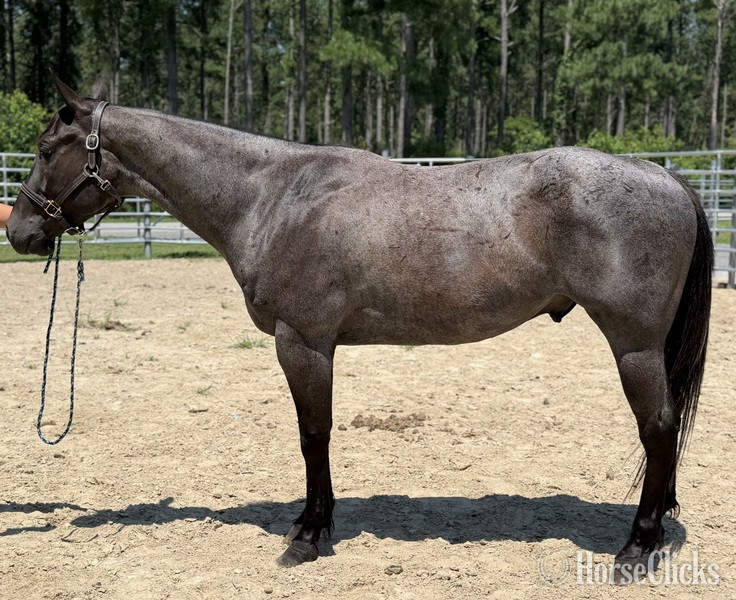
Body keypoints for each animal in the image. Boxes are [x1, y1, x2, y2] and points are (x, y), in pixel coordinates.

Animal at [7, 79, 712, 571]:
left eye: (44, 150)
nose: (20, 232)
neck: (271, 197)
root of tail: (666, 175)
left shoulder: (304, 343)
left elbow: (312, 436)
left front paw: (308, 535)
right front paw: (313, 525)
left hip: (634, 346)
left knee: (657, 428)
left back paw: (637, 547)